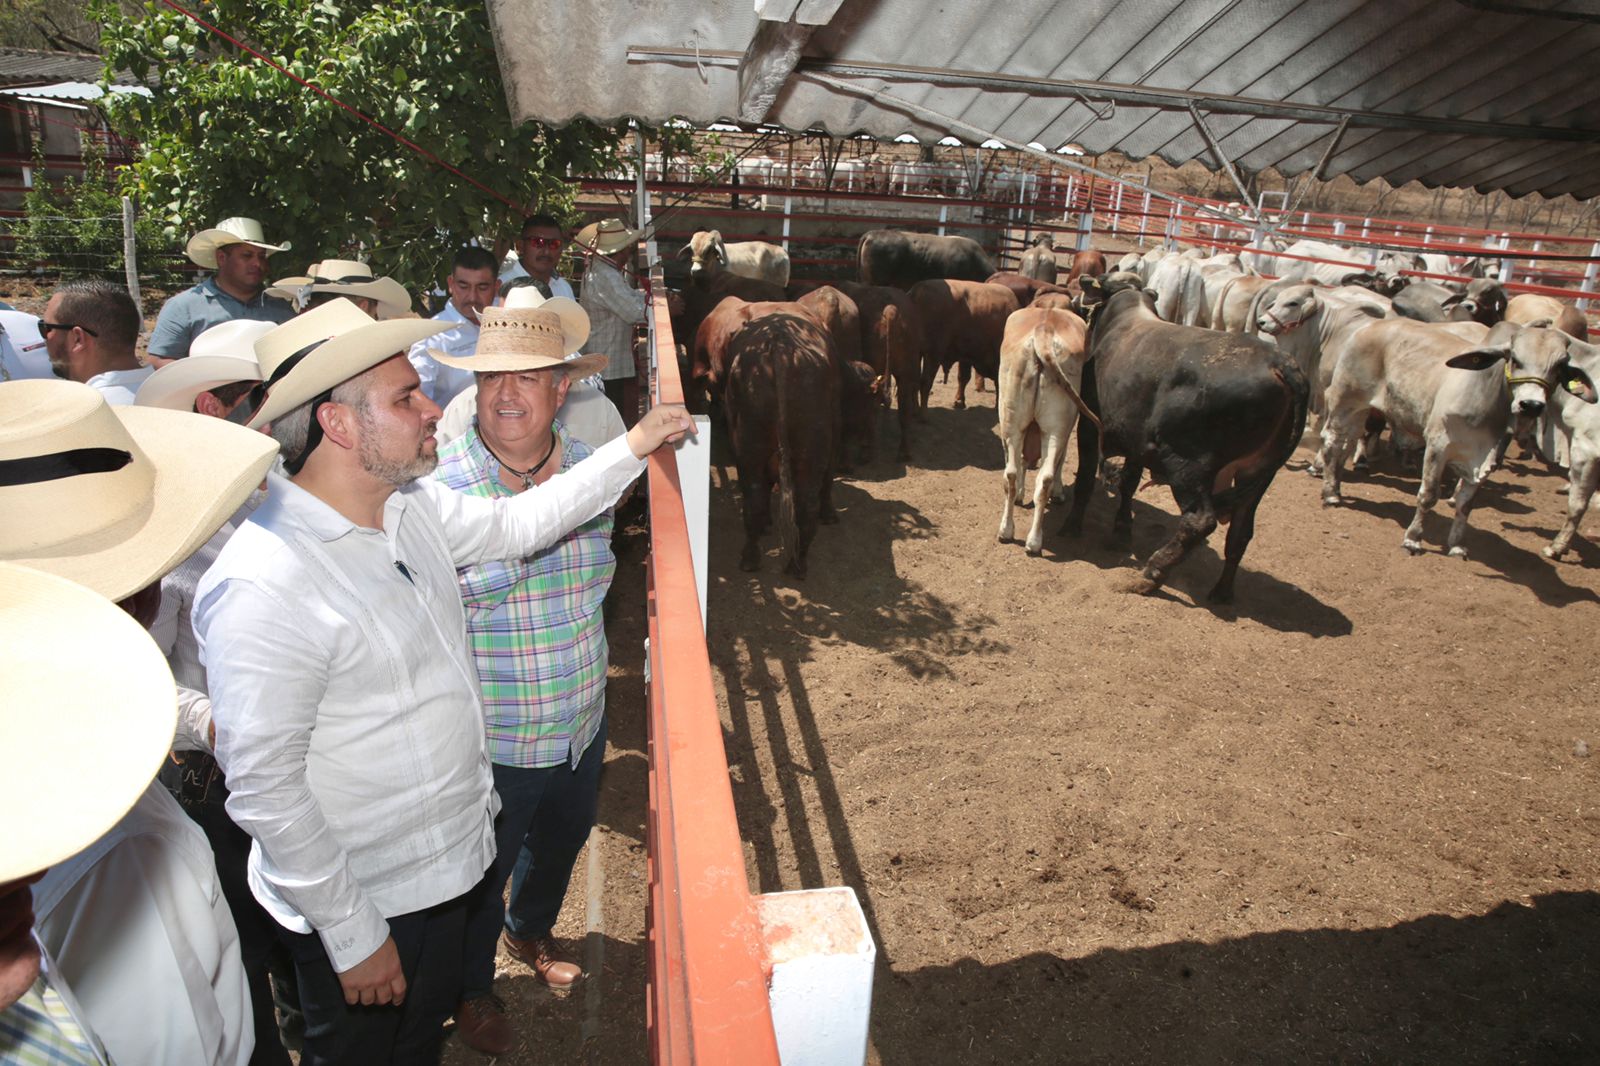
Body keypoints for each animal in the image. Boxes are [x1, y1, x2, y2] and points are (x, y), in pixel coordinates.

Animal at [720, 305, 838, 573]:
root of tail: (780, 344)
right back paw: (797, 563)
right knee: (804, 504)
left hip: (750, 446)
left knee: (756, 497)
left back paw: (753, 558)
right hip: (808, 449)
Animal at [908, 278, 1017, 406]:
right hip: (933, 354)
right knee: (925, 383)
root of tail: (917, 292)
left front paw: (959, 401)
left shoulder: (966, 355)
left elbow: (963, 377)